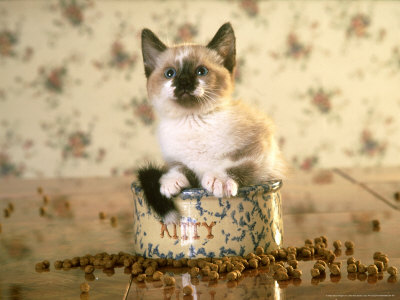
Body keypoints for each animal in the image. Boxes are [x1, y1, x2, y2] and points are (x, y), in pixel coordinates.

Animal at [138, 22, 284, 223]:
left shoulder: (260, 150)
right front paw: (170, 182)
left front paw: (219, 180)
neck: (193, 120)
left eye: (201, 71)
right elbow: (180, 167)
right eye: (170, 73)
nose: (184, 82)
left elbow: (239, 165)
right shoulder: (175, 159)